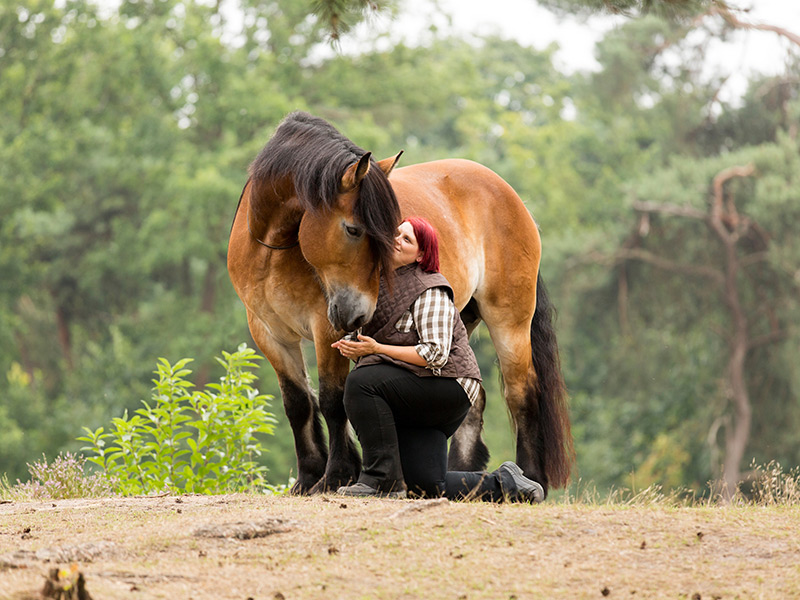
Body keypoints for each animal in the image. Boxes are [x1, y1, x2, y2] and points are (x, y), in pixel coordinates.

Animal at [228, 112, 572, 496]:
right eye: (353, 229)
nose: (359, 313)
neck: (273, 249)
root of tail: (511, 196)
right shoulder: (270, 333)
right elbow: (298, 404)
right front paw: (307, 479)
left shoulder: (327, 328)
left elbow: (333, 400)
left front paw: (335, 477)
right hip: (459, 318)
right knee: (474, 399)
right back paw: (467, 476)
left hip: (509, 320)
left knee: (522, 393)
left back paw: (530, 477)